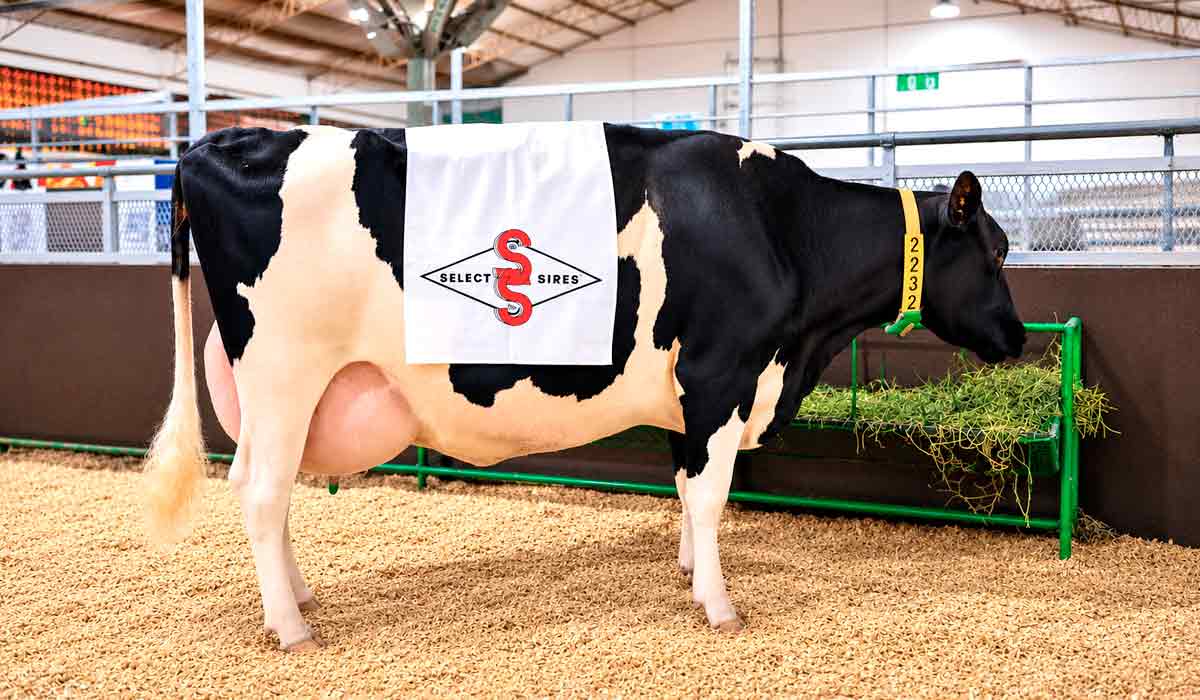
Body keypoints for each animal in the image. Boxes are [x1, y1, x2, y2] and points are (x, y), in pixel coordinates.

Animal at [143, 123, 1025, 652]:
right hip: (286, 370)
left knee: (267, 489)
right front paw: (718, 604)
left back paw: (299, 596)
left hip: (282, 391)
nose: (1018, 339)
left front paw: (687, 572)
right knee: (263, 492)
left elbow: (685, 488)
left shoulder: (684, 389)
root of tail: (221, 140)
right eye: (998, 251)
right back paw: (291, 626)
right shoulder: (720, 372)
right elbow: (711, 495)